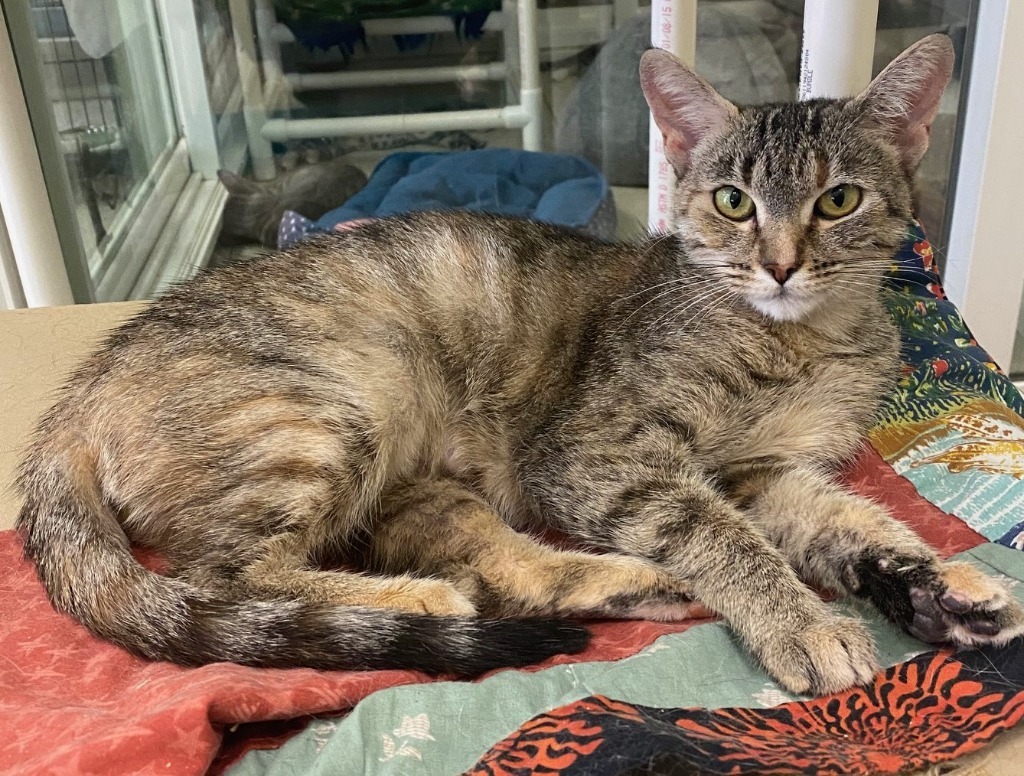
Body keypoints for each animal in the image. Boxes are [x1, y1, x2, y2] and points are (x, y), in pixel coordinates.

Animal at [18, 33, 1024, 696]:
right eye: (733, 203)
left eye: (839, 200)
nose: (779, 263)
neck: (804, 339)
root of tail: (73, 401)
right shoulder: (595, 454)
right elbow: (725, 537)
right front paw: (803, 623)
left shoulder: (762, 470)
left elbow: (851, 519)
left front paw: (940, 581)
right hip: (323, 415)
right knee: (223, 578)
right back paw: (424, 600)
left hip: (412, 481)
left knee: (509, 569)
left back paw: (635, 583)